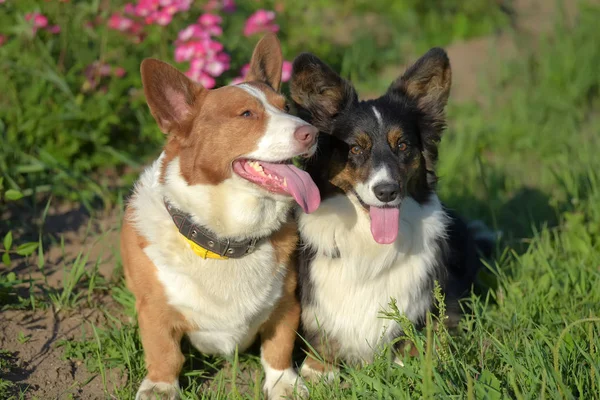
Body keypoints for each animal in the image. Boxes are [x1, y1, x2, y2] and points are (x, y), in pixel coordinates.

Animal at [119, 34, 322, 400]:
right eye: (246, 114)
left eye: (286, 107)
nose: (312, 133)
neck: (226, 239)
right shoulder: (155, 310)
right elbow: (164, 353)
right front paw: (160, 387)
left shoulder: (286, 304)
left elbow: (278, 348)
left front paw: (284, 384)